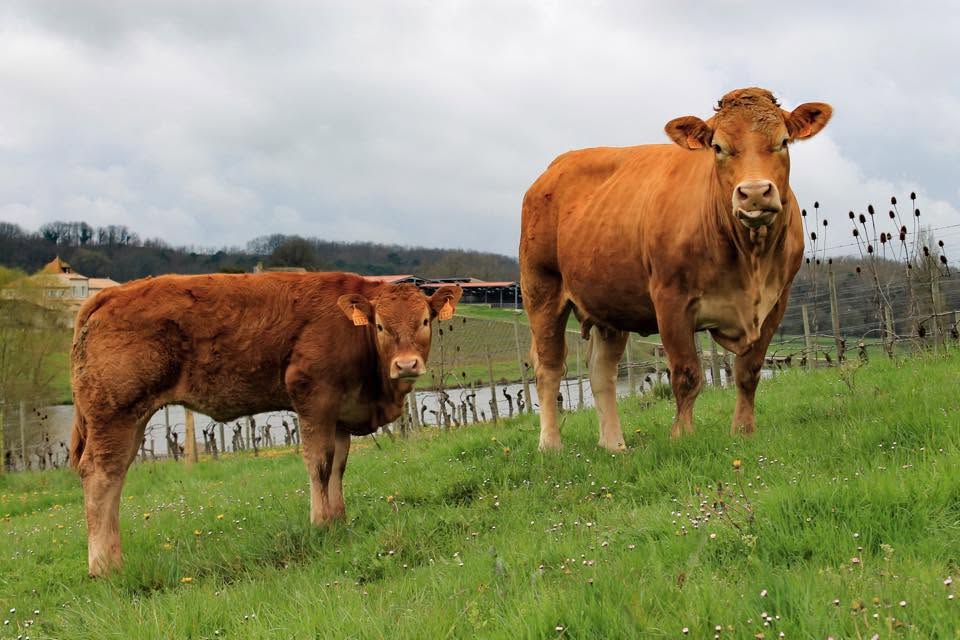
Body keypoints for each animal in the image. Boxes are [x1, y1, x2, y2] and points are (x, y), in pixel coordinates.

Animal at [69, 272, 462, 576]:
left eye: (424, 321)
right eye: (380, 325)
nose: (406, 364)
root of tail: (109, 294)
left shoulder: (339, 411)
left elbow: (338, 466)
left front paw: (338, 520)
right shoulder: (314, 398)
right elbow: (319, 464)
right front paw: (320, 523)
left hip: (130, 420)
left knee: (116, 476)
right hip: (114, 414)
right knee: (101, 476)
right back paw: (103, 566)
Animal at [520, 87, 831, 452]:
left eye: (783, 141)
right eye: (718, 147)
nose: (754, 193)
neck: (749, 259)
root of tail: (556, 166)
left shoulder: (776, 303)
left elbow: (749, 371)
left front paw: (743, 430)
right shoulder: (671, 300)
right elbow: (686, 374)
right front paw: (682, 435)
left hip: (610, 303)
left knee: (601, 372)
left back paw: (614, 446)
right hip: (541, 289)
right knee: (549, 368)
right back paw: (550, 445)